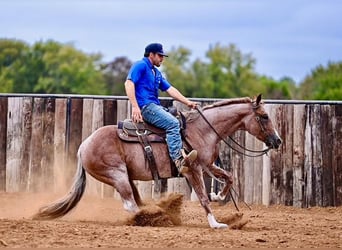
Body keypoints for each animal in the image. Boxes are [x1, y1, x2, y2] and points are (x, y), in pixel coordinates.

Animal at [33, 94, 282, 229]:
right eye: (264, 116)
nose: (278, 141)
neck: (203, 130)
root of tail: (83, 145)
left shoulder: (208, 165)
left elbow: (229, 178)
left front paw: (218, 195)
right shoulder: (193, 169)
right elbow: (202, 198)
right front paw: (215, 223)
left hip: (126, 177)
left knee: (133, 200)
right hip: (117, 175)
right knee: (130, 204)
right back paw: (151, 217)